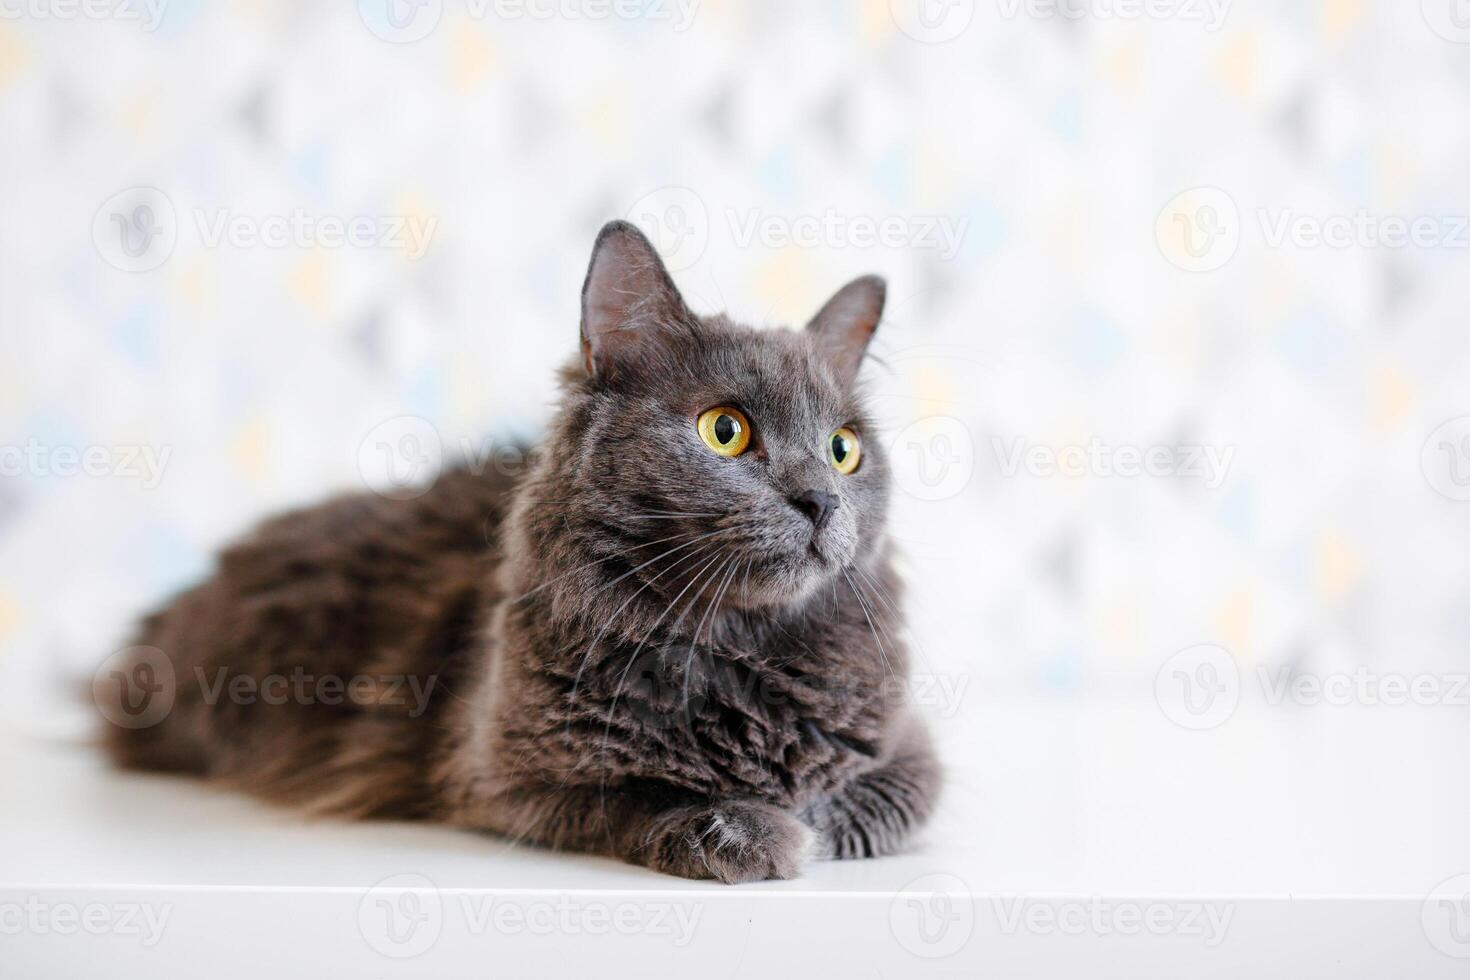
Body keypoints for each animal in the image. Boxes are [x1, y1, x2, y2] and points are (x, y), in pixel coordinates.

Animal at [100, 220, 940, 881]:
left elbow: (872, 798)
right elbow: (639, 796)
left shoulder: (913, 754)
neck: (738, 649)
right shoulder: (497, 777)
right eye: (725, 430)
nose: (822, 500)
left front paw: (806, 816)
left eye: (843, 450)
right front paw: (757, 828)